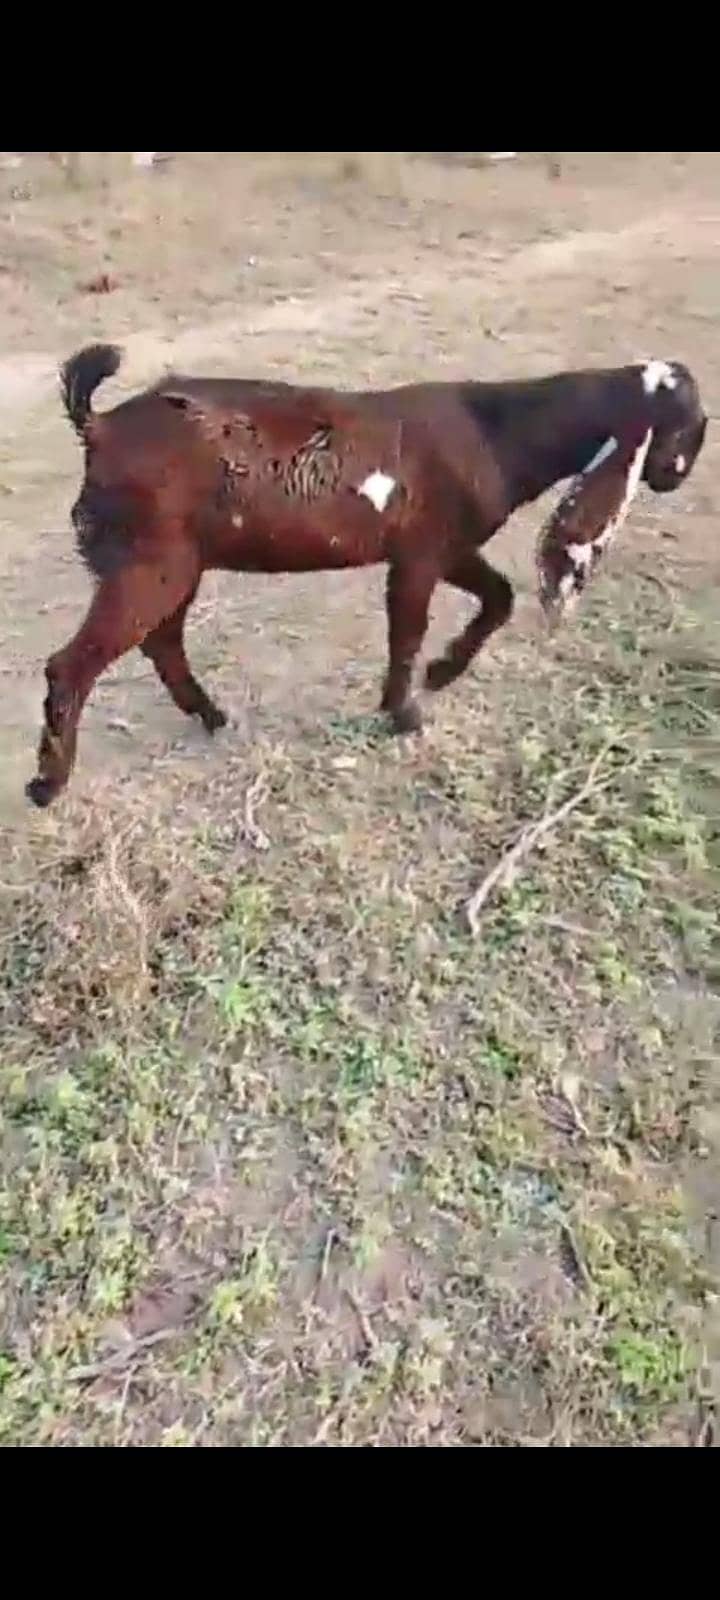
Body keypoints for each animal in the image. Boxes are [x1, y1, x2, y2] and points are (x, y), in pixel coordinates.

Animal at [26, 347, 707, 807]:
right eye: (695, 423)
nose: (673, 479)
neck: (496, 429)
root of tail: (100, 428)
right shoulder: (422, 553)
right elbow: (407, 631)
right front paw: (403, 714)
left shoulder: (446, 547)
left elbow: (498, 598)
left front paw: (440, 674)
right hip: (152, 564)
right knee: (74, 664)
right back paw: (47, 784)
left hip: (176, 563)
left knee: (163, 642)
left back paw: (213, 717)